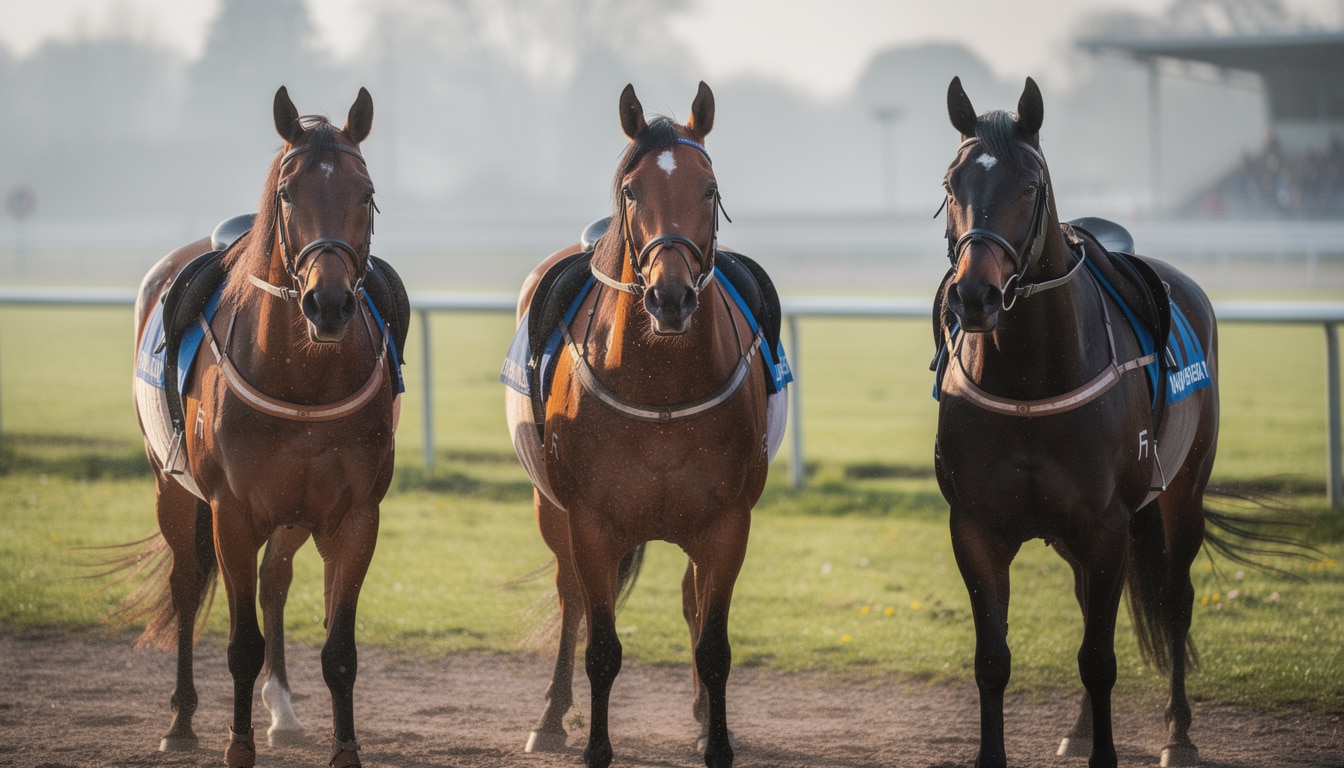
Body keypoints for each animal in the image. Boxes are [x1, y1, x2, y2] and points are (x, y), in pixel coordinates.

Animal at [120, 86, 401, 768]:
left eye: (365, 192)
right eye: (288, 194)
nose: (329, 303)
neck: (301, 378)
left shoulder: (355, 516)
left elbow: (339, 650)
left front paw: (344, 749)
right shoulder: (232, 512)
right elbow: (241, 644)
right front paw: (236, 745)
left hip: (293, 515)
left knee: (274, 583)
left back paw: (283, 709)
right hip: (172, 489)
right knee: (186, 584)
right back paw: (182, 719)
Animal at [503, 82, 789, 768]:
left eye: (708, 189)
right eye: (632, 191)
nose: (671, 297)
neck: (659, 385)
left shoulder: (727, 523)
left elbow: (713, 645)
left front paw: (717, 742)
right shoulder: (590, 522)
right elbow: (601, 646)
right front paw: (595, 747)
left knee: (690, 601)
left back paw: (701, 717)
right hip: (551, 511)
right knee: (570, 598)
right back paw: (551, 718)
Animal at [932, 76, 1222, 768]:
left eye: (1030, 186)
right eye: (951, 184)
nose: (974, 296)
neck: (1030, 381)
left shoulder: (1107, 524)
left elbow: (1099, 658)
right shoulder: (975, 526)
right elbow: (993, 659)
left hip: (1183, 492)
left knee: (1175, 600)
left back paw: (1179, 734)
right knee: (1092, 600)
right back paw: (1083, 726)